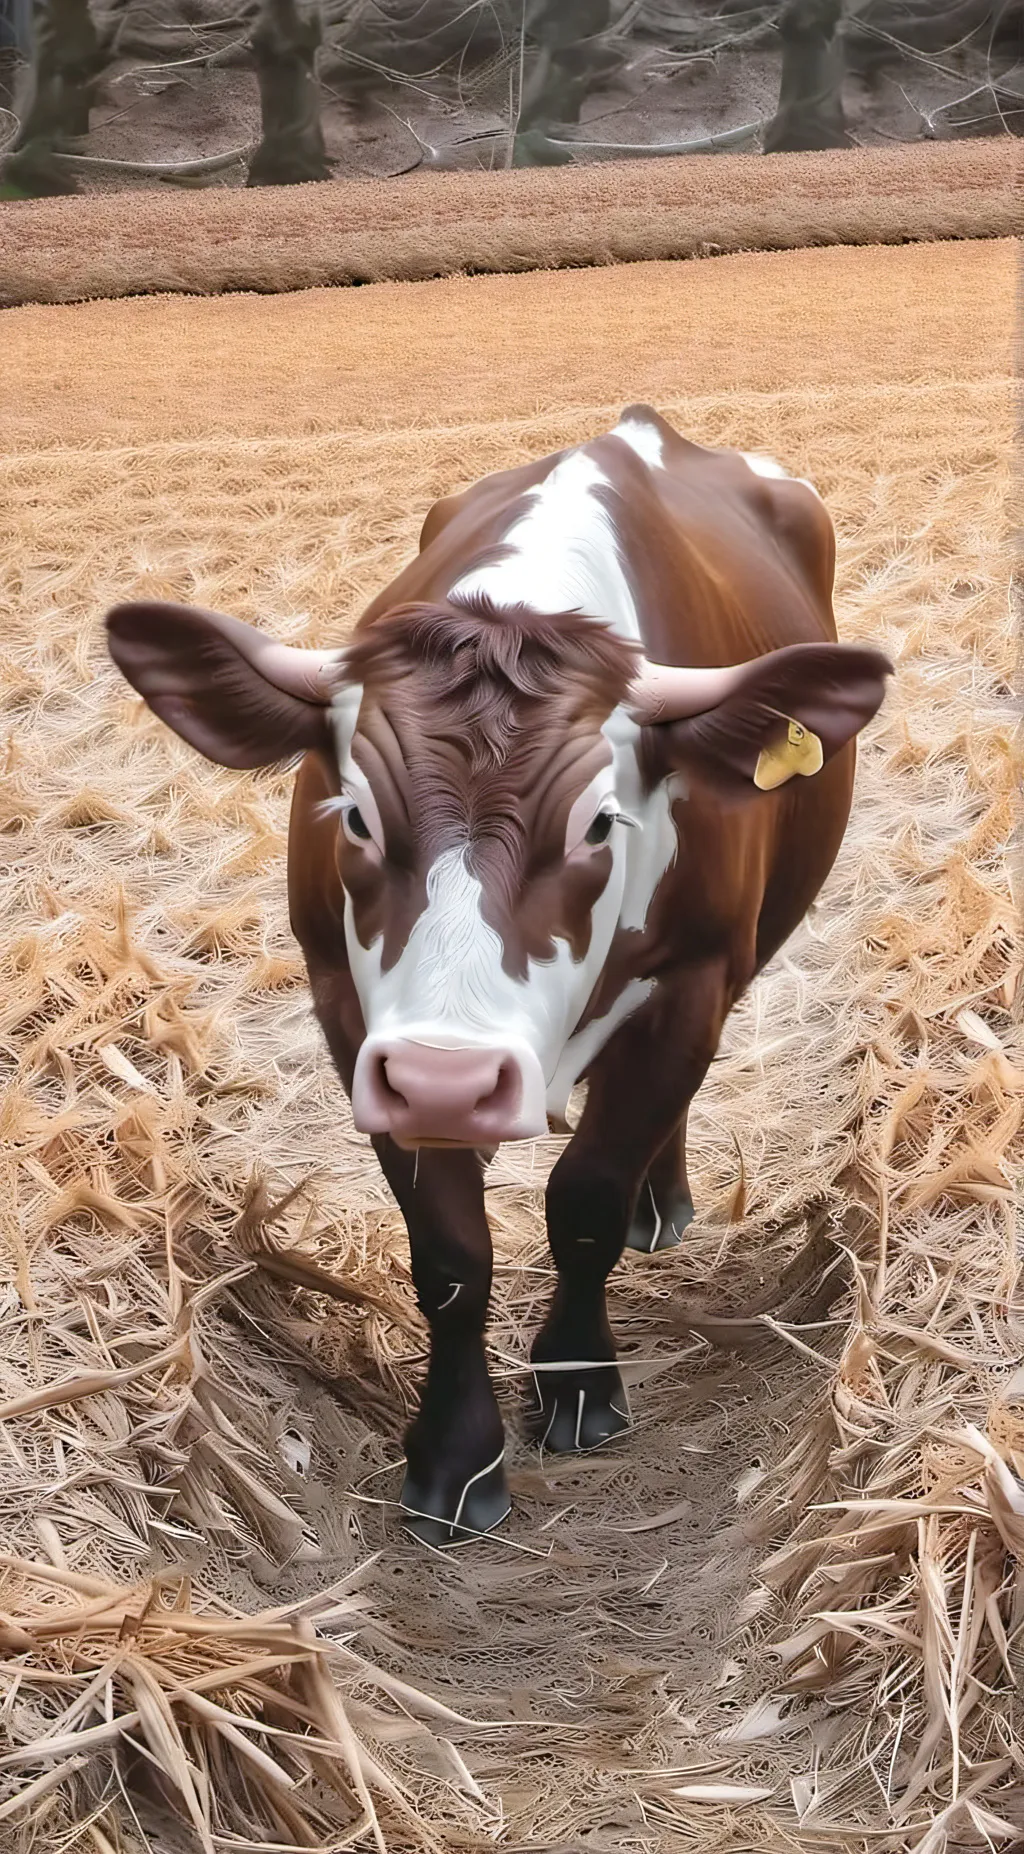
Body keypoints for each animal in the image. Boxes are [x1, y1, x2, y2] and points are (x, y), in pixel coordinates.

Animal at [105, 406, 892, 1546]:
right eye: (353, 815)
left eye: (602, 825)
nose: (452, 1082)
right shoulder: (357, 1024)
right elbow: (449, 1250)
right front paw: (455, 1453)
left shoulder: (694, 979)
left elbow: (587, 1200)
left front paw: (579, 1380)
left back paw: (663, 1199)